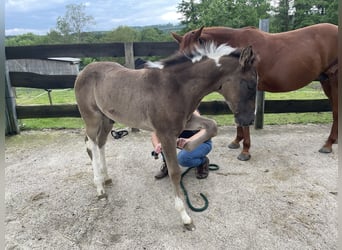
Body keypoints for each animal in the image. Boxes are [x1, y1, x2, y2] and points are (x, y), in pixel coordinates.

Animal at [172, 23, 338, 160]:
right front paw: (236, 141)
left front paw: (245, 151)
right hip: (325, 81)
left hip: (334, 80)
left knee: (336, 110)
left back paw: (328, 144)